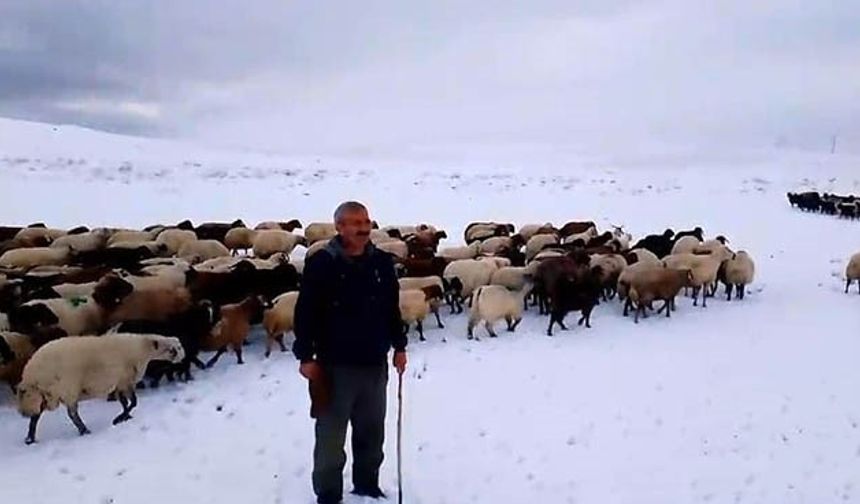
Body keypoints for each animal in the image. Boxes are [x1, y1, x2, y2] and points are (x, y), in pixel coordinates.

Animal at [17, 334, 185, 444]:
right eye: (173, 349)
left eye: (179, 346)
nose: (182, 357)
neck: (142, 348)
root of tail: (31, 375)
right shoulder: (125, 381)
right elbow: (133, 402)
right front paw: (119, 419)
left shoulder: (119, 383)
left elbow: (125, 403)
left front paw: (125, 418)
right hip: (66, 388)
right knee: (72, 414)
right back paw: (84, 431)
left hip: (46, 395)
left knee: (36, 416)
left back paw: (30, 438)